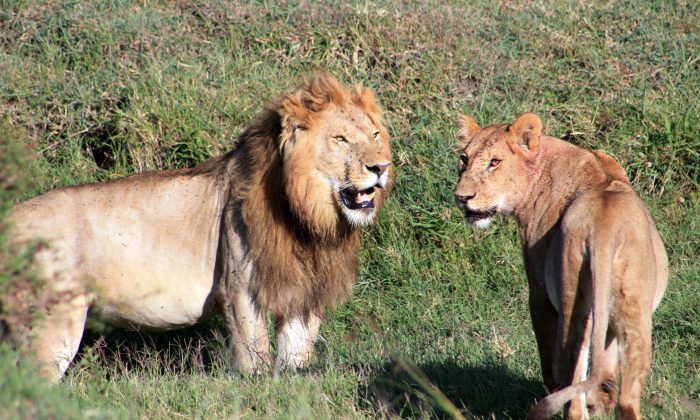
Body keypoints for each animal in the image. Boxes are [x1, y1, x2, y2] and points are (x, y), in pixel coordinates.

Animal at [9, 74, 393, 381]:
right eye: (341, 139)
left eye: (375, 134)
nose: (381, 167)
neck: (309, 218)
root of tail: (11, 217)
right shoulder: (241, 289)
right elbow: (255, 361)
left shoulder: (303, 292)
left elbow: (295, 360)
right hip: (52, 323)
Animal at [453, 113, 668, 419]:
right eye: (464, 158)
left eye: (494, 162)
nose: (462, 198)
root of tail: (603, 230)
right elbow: (606, 369)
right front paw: (600, 404)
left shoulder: (539, 294)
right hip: (635, 314)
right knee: (626, 399)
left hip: (570, 306)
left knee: (572, 393)